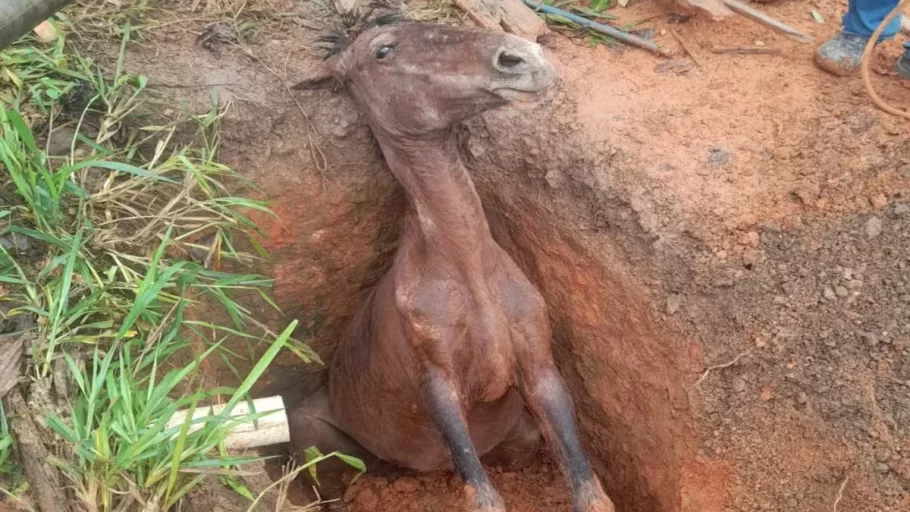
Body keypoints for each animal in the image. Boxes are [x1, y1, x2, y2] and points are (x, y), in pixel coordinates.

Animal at [292, 12, 620, 512]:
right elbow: (483, 497)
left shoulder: (540, 368)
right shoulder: (438, 384)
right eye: (383, 50)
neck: (468, 270)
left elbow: (589, 490)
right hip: (316, 435)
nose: (525, 57)